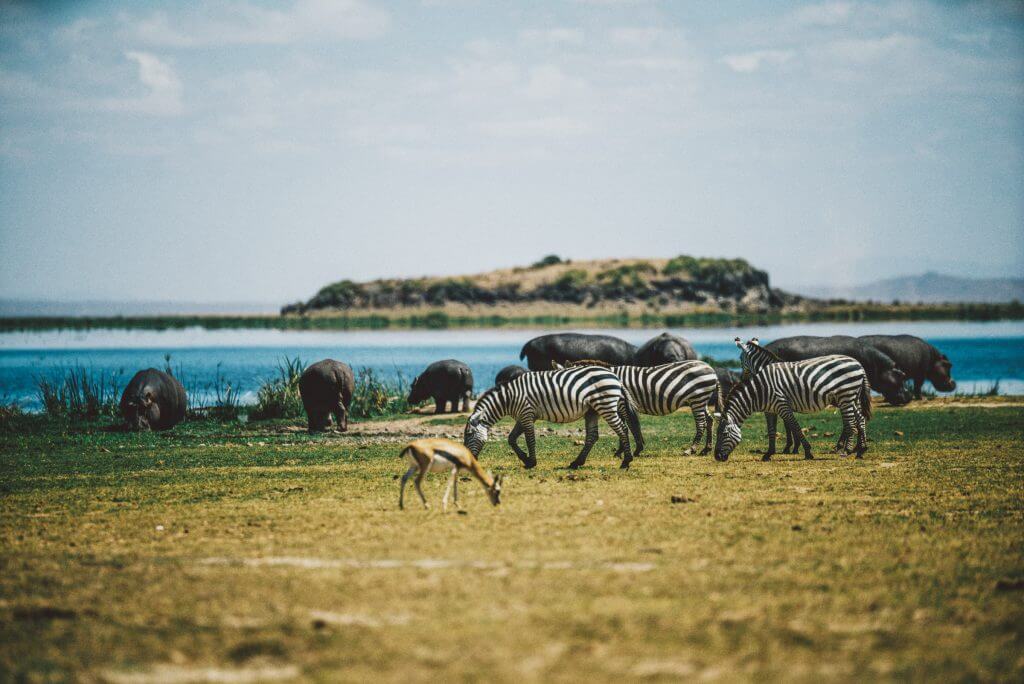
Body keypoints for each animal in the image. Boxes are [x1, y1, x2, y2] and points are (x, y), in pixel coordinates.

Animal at [463, 365, 640, 469]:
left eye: (469, 435)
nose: (468, 461)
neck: (509, 398)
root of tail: (615, 376)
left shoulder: (527, 414)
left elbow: (530, 439)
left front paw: (531, 462)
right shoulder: (522, 416)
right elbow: (511, 439)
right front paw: (525, 459)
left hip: (605, 405)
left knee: (622, 429)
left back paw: (626, 461)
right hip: (593, 410)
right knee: (593, 436)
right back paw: (576, 463)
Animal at [561, 359, 720, 455]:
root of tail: (711, 369)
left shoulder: (622, 404)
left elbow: (628, 425)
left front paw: (628, 450)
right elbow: (628, 426)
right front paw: (629, 450)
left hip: (698, 399)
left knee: (701, 424)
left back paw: (691, 449)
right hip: (701, 401)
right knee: (710, 420)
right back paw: (706, 449)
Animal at [715, 343, 872, 461]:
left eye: (724, 434)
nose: (717, 457)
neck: (760, 390)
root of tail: (858, 364)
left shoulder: (783, 405)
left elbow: (794, 427)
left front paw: (805, 451)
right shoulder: (771, 409)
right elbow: (772, 430)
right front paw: (769, 453)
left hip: (846, 396)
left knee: (851, 424)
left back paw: (846, 450)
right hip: (852, 397)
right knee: (860, 419)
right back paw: (860, 450)